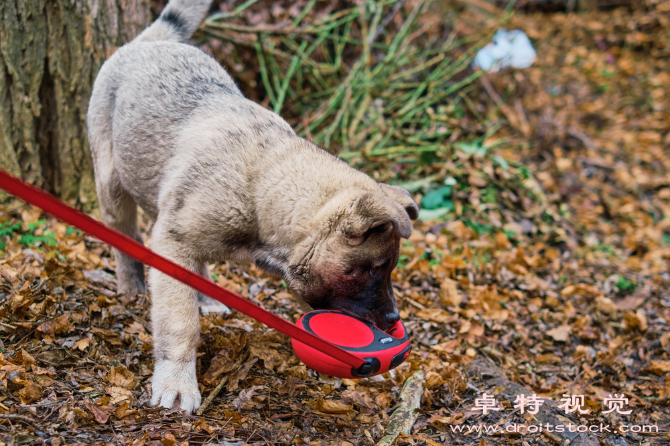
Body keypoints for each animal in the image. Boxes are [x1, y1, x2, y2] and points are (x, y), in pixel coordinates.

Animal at [86, 0, 418, 412]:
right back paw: (130, 283)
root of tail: (148, 43)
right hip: (112, 183)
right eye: (370, 270)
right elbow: (179, 322)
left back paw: (205, 296)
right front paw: (177, 382)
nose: (392, 321)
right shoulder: (173, 241)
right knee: (123, 234)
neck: (262, 182)